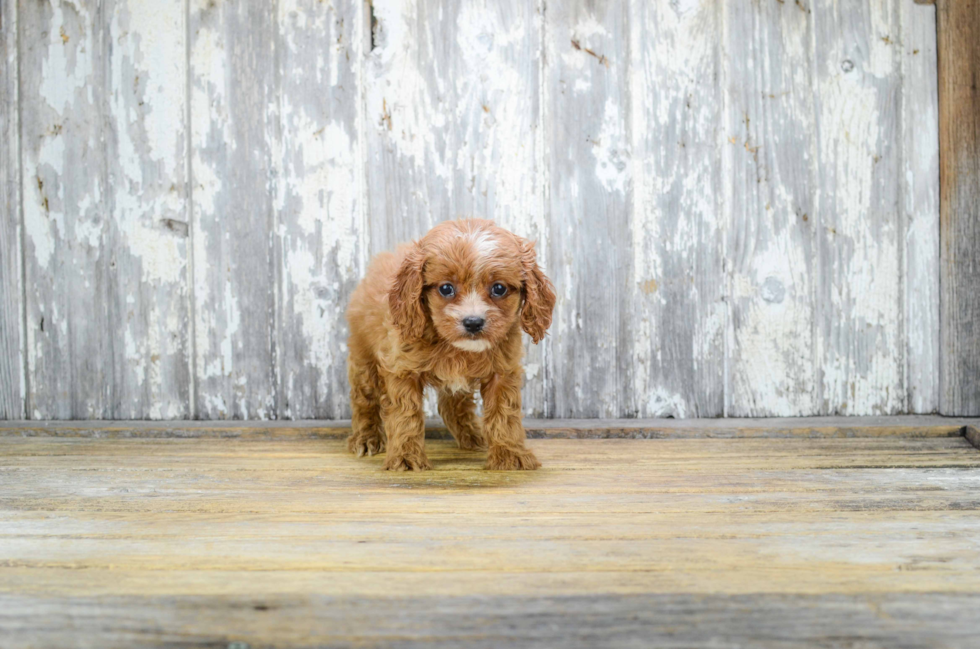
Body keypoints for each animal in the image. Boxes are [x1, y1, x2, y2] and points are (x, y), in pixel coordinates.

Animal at [348, 219, 556, 470]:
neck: (456, 348)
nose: (473, 322)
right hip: (363, 357)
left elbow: (504, 415)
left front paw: (509, 454)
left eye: (499, 288)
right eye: (446, 288)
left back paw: (472, 435)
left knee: (453, 404)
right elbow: (405, 416)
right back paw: (366, 438)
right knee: (364, 400)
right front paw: (405, 457)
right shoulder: (402, 369)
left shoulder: (502, 372)